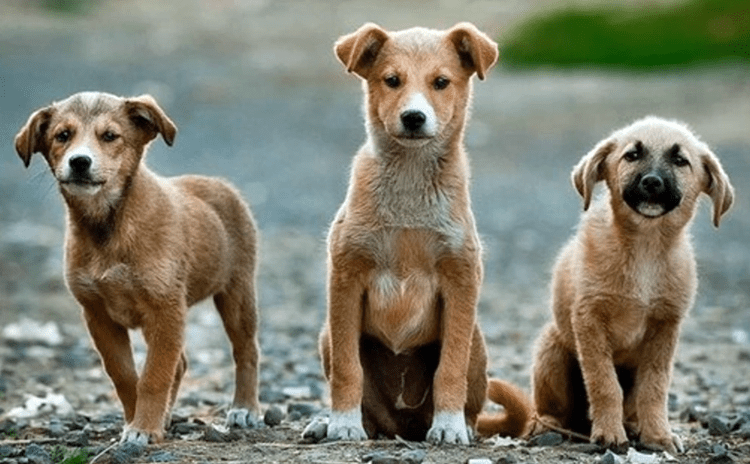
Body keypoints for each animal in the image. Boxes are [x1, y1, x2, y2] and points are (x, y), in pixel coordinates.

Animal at [13, 91, 262, 446]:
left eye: (110, 136)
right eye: (63, 135)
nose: (79, 162)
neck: (108, 227)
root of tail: (219, 184)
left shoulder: (165, 309)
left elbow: (154, 375)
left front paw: (144, 428)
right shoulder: (98, 315)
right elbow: (126, 375)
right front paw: (138, 421)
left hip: (237, 293)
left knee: (246, 351)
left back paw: (244, 408)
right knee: (181, 363)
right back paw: (168, 416)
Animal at [306, 23, 536, 444]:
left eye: (441, 82)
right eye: (391, 80)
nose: (414, 117)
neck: (410, 184)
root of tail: (404, 426)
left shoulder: (461, 279)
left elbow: (450, 368)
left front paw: (448, 426)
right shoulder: (345, 277)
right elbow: (348, 369)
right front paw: (342, 423)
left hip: (477, 342)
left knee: (470, 399)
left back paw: (460, 424)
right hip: (326, 335)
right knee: (369, 409)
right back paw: (330, 422)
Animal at [536, 116, 736, 454]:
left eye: (680, 161)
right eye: (632, 155)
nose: (652, 182)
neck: (646, 246)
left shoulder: (665, 326)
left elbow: (654, 388)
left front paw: (657, 435)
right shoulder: (589, 319)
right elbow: (604, 384)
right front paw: (608, 433)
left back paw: (632, 426)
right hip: (551, 352)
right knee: (550, 410)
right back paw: (550, 426)